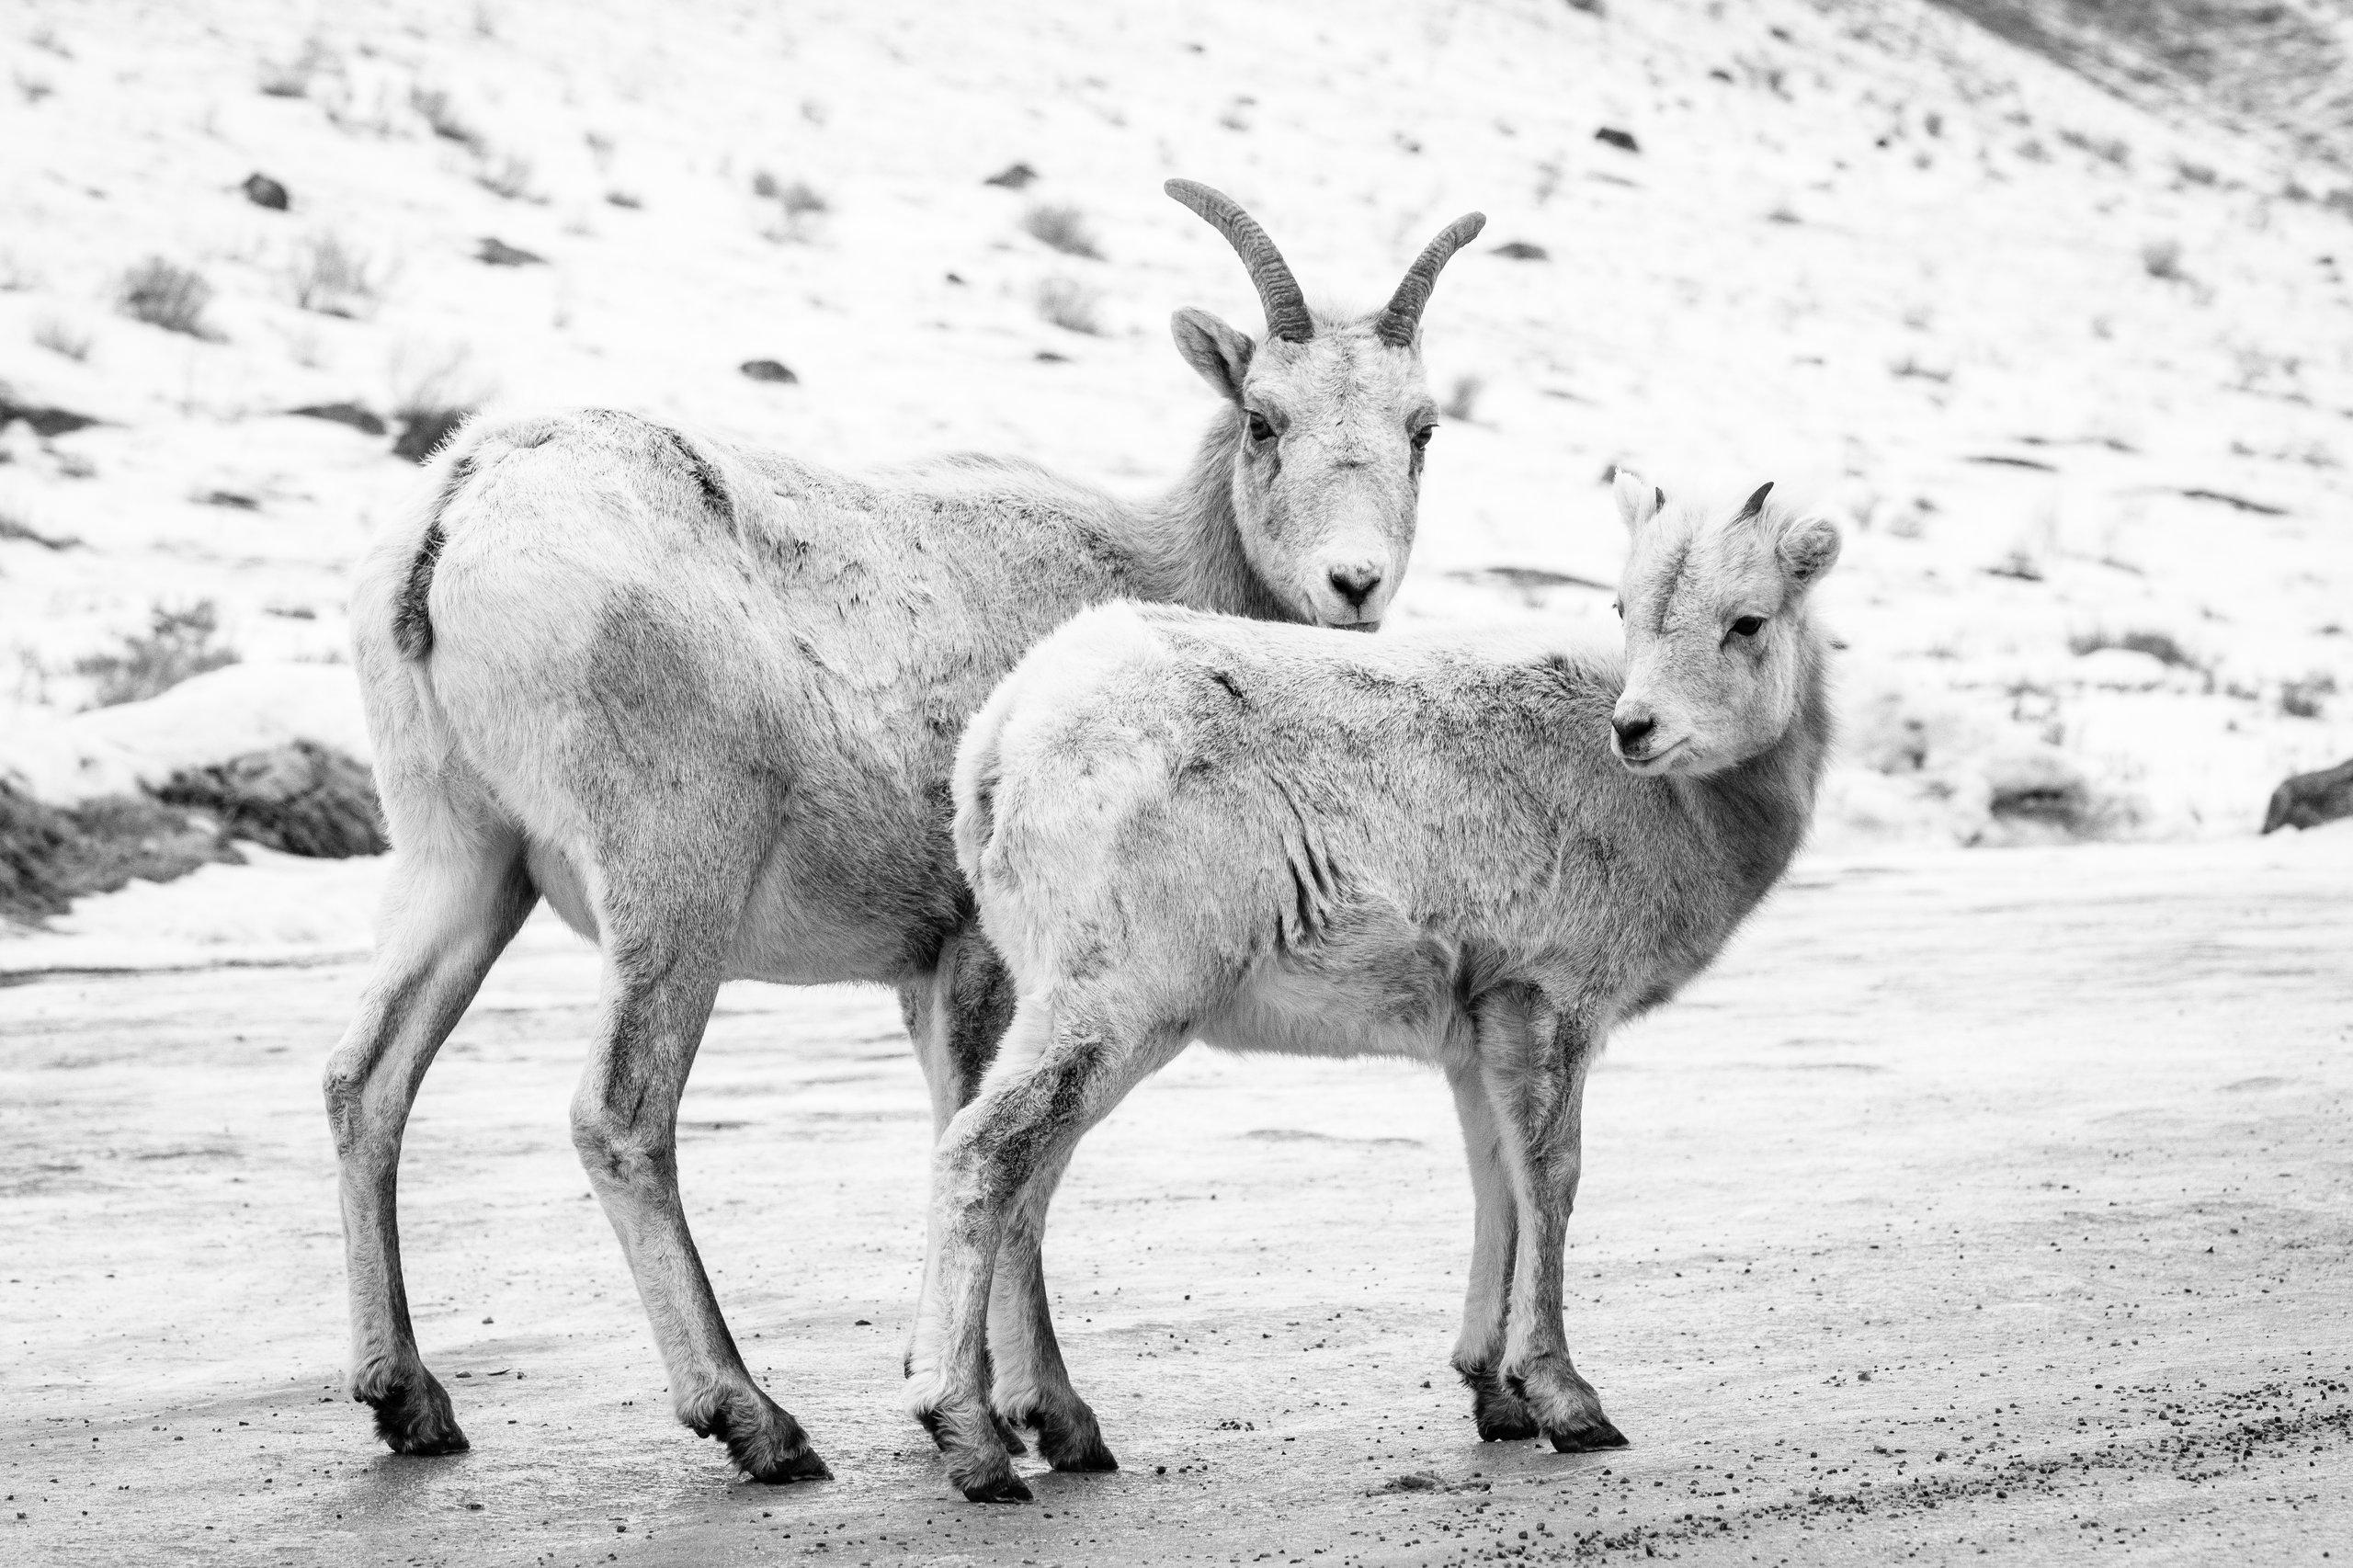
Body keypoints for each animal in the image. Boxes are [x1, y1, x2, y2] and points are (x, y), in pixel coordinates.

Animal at [322, 179, 1486, 1483]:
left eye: (1421, 428)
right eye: (1262, 418)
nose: (1353, 584)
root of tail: (454, 513)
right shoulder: (981, 956)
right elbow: (1006, 1163)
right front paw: (1040, 1419)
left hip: (460, 863)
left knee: (365, 1080)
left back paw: (411, 1401)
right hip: (671, 887)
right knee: (619, 1115)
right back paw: (757, 1421)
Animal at [913, 471, 1841, 1501]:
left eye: (1747, 620)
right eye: (1625, 607)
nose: (1636, 728)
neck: (1684, 812)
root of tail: (1000, 746)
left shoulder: (1479, 1034)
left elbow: (1496, 1184)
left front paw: (1496, 1397)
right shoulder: (1547, 998)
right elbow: (1551, 1179)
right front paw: (1569, 1405)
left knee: (1027, 1182)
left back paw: (1064, 1427)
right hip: (1113, 1004)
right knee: (984, 1157)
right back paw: (974, 1443)